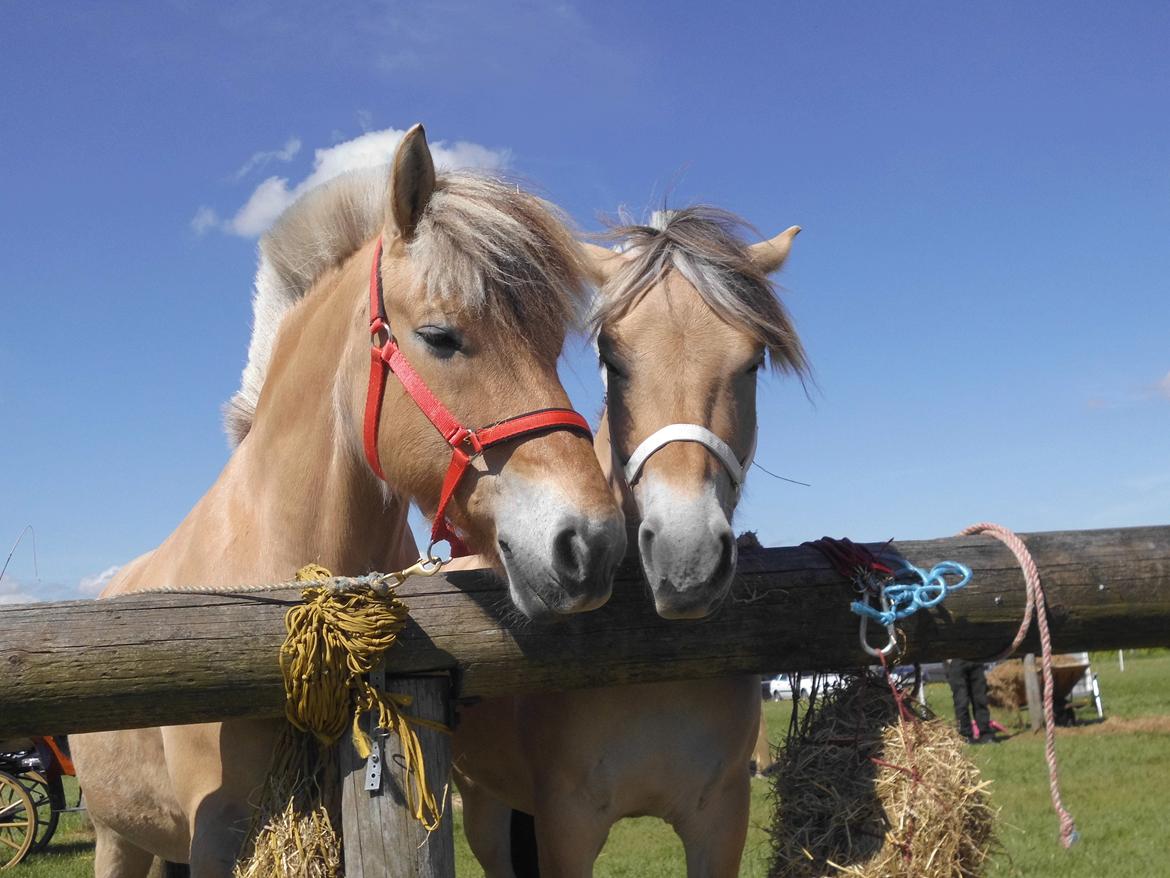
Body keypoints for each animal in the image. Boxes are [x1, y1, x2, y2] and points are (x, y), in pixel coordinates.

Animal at [446, 204, 804, 875]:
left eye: (753, 362)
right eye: (612, 359)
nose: (686, 559)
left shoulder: (720, 821)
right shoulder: (567, 825)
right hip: (481, 804)